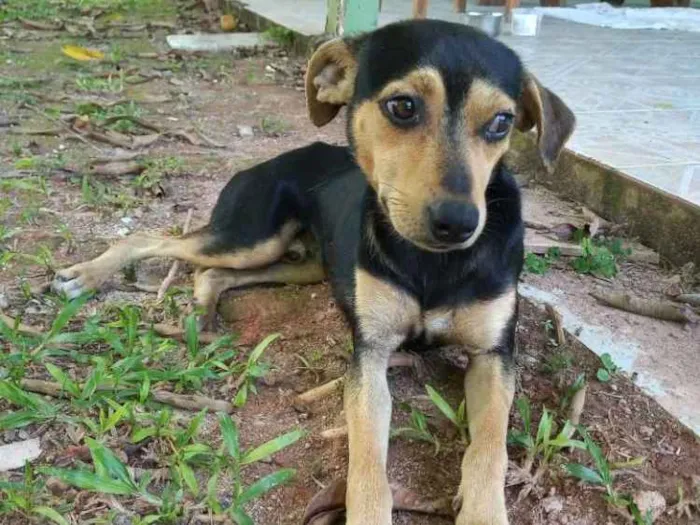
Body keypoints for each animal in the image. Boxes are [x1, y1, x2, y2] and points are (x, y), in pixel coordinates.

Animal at [52, 19, 572, 524]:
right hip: (250, 236)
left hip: (300, 263)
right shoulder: (370, 355)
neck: (434, 263)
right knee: (149, 239)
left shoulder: (493, 356)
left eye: (502, 122)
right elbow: (368, 461)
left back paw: (200, 313)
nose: (459, 223)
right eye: (403, 106)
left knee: (210, 275)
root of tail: (271, 160)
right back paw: (86, 276)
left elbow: (490, 448)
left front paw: (483, 508)